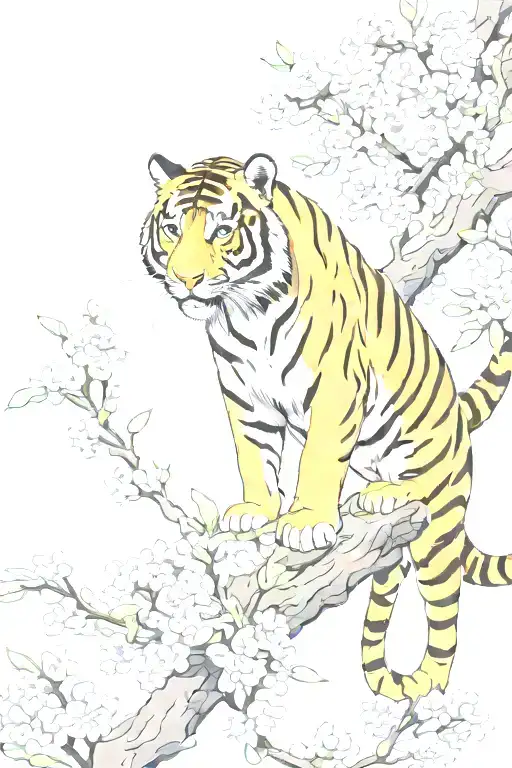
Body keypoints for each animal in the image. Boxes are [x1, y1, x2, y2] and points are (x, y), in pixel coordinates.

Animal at [141, 151, 512, 702]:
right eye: (171, 230)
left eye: (222, 231)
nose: (184, 280)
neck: (243, 312)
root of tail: (460, 418)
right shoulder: (242, 393)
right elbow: (252, 456)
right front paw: (254, 512)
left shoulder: (336, 383)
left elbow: (317, 458)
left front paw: (306, 523)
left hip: (438, 522)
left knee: (443, 615)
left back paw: (424, 683)